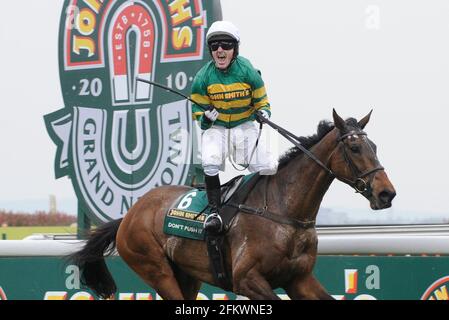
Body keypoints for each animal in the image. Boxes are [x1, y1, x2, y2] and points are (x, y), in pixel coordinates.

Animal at [67, 109, 396, 300]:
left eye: (374, 146)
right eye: (355, 147)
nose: (386, 194)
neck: (283, 211)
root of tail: (129, 215)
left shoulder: (299, 279)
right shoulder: (247, 279)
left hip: (186, 275)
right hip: (154, 267)